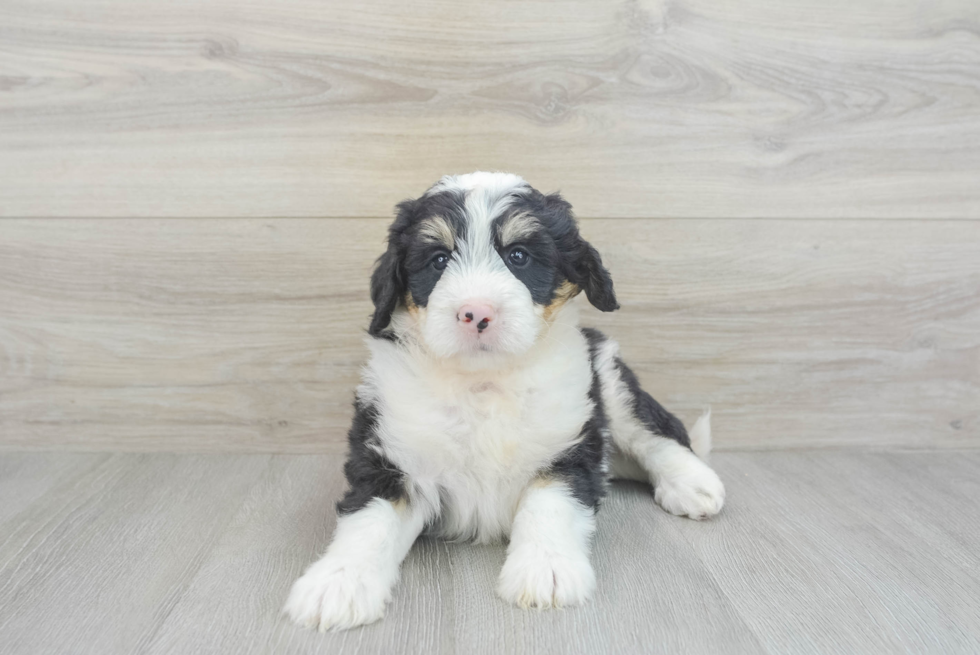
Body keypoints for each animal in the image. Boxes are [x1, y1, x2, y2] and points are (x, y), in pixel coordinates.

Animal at [280, 173, 724, 632]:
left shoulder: (568, 443)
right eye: (439, 259)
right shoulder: (392, 454)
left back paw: (692, 483)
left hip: (608, 376)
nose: (477, 312)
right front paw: (337, 583)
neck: (484, 383)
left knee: (658, 431)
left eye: (518, 256)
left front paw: (546, 570)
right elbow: (369, 520)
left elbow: (547, 504)